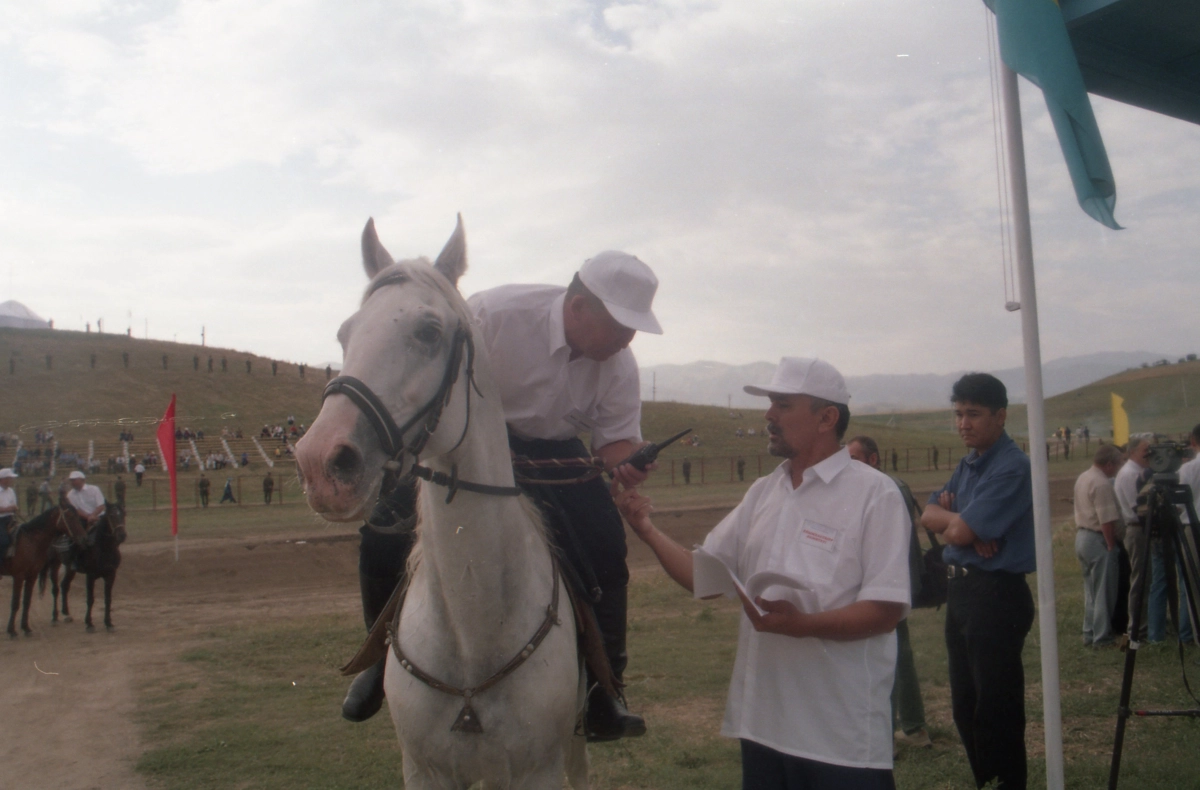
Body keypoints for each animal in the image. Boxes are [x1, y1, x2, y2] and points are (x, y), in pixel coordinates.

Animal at [1, 501, 87, 638]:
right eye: (69, 516)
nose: (84, 539)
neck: (30, 542)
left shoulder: (32, 576)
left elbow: (26, 601)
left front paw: (26, 628)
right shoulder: (18, 576)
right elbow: (15, 603)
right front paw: (12, 631)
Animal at [295, 217, 585, 787]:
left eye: (428, 332)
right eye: (345, 334)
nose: (320, 462)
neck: (474, 633)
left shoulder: (537, 771)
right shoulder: (424, 769)